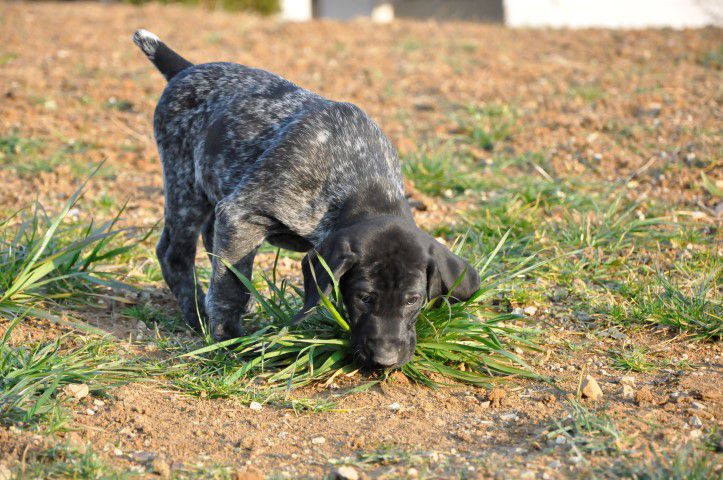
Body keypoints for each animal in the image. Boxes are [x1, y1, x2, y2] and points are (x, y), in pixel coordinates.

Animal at [134, 30, 480, 370]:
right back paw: (196, 314)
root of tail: (186, 69)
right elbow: (230, 286)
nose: (385, 360)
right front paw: (228, 339)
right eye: (363, 297)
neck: (361, 178)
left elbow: (230, 272)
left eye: (413, 300)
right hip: (184, 186)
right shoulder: (241, 213)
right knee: (175, 254)